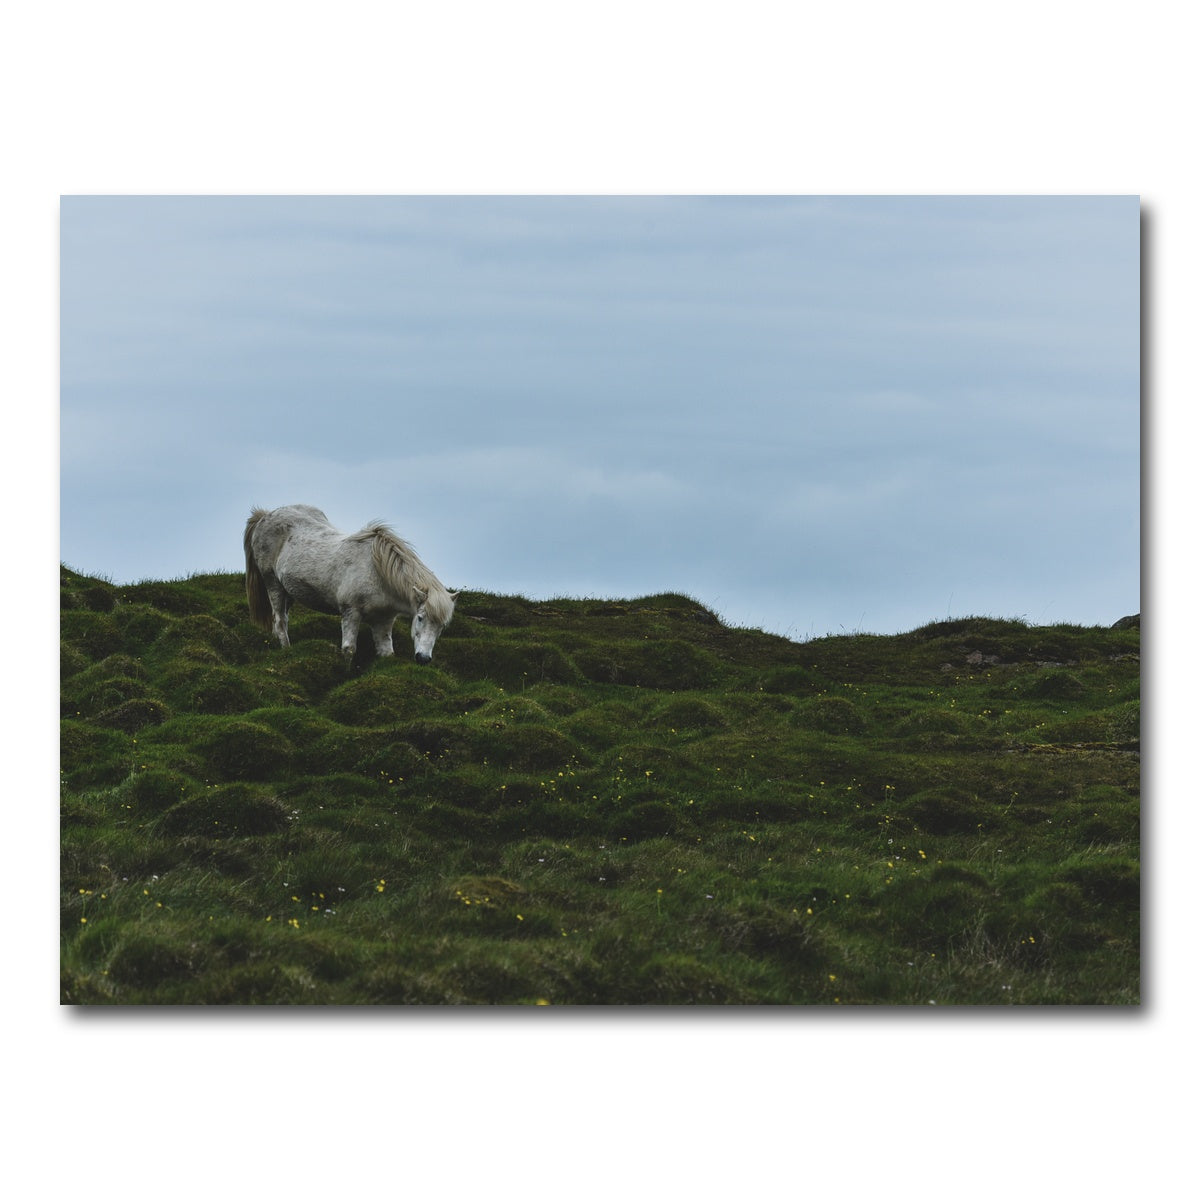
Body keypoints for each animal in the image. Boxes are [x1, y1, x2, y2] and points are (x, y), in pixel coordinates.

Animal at [244, 505, 458, 663]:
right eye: (420, 618)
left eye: (442, 627)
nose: (423, 658)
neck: (378, 573)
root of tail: (265, 516)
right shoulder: (351, 612)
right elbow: (348, 650)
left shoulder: (383, 621)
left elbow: (386, 653)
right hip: (273, 583)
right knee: (280, 620)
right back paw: (286, 650)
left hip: (289, 591)